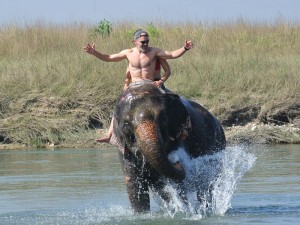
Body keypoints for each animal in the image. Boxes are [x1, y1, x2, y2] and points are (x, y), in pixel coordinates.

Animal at [111, 83, 226, 214]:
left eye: (162, 118)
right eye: (126, 125)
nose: (177, 161)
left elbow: (171, 185)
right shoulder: (125, 152)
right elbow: (134, 185)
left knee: (206, 185)